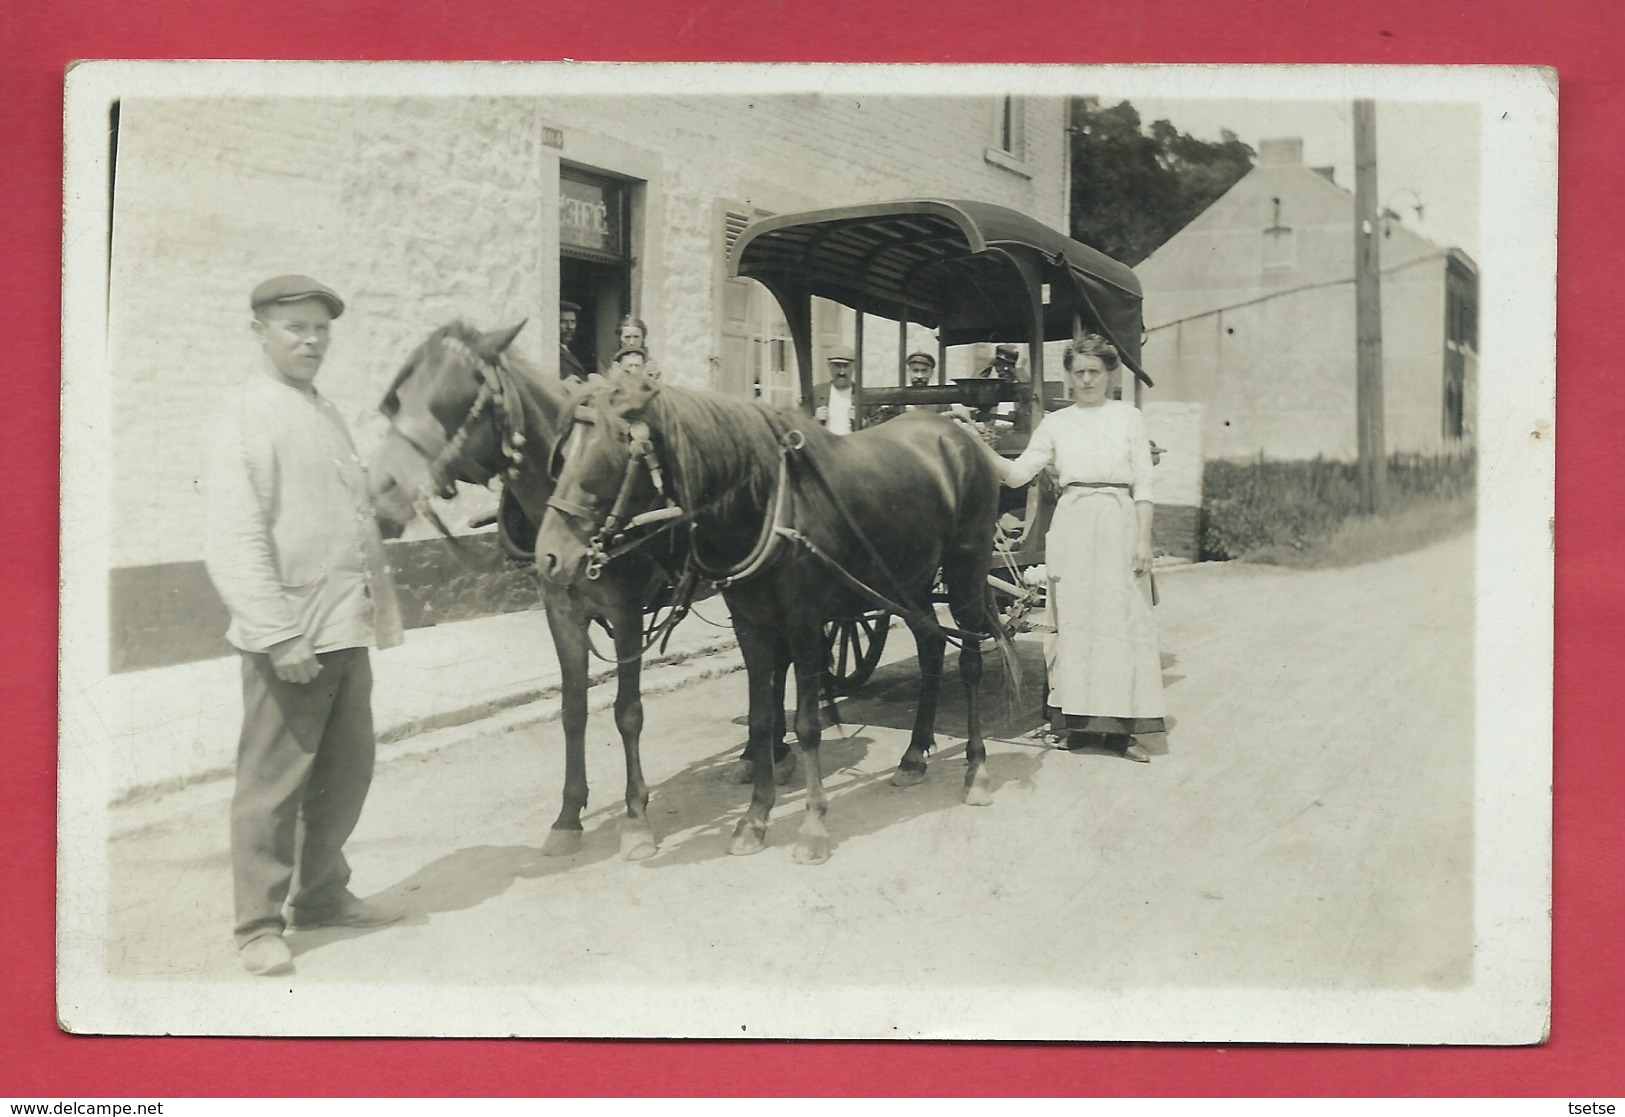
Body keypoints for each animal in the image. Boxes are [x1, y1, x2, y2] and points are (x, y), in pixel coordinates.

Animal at [536, 375, 1014, 864]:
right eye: (561, 455)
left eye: (606, 453)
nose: (549, 556)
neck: (765, 501)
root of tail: (959, 433)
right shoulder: (751, 625)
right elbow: (761, 718)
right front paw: (754, 819)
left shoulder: (804, 623)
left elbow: (807, 725)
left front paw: (813, 826)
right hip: (906, 580)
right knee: (931, 647)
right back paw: (914, 755)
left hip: (965, 571)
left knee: (969, 662)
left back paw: (976, 770)